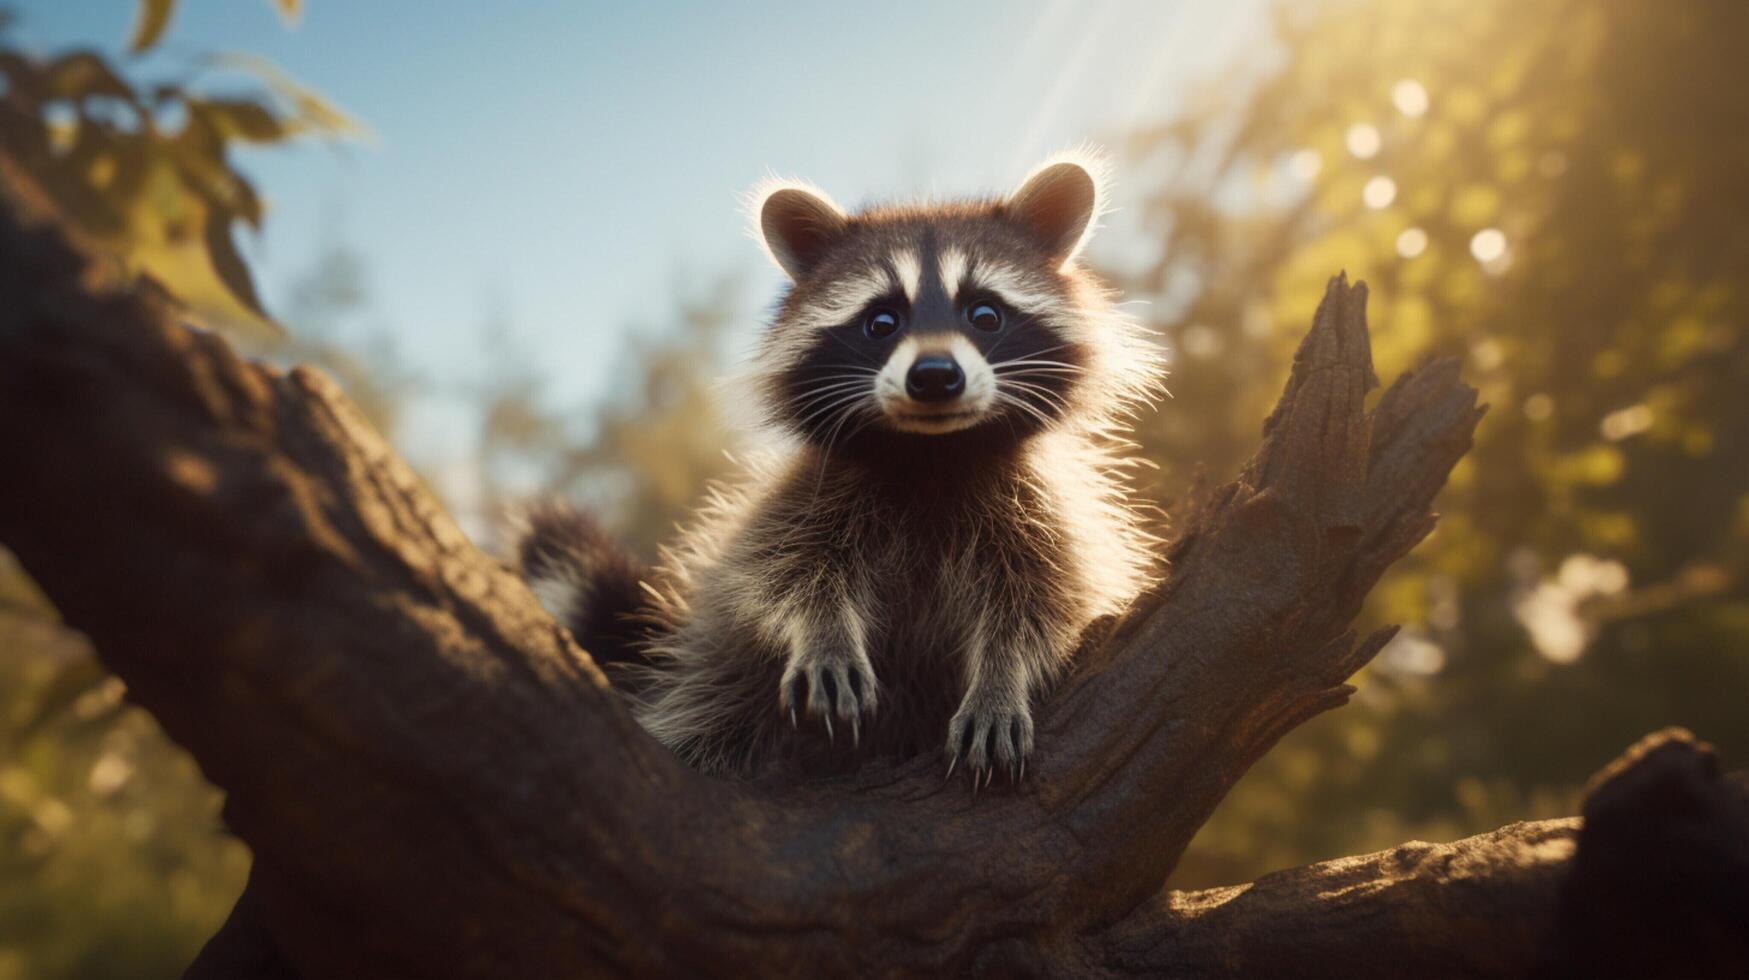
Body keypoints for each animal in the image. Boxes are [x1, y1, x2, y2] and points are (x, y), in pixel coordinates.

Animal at [524, 153, 1168, 780]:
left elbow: (1044, 602)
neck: (932, 453)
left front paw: (1001, 680)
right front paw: (823, 633)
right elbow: (782, 574)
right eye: (882, 321)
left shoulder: (1036, 509)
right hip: (718, 681)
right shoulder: (810, 494)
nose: (935, 376)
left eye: (985, 314)